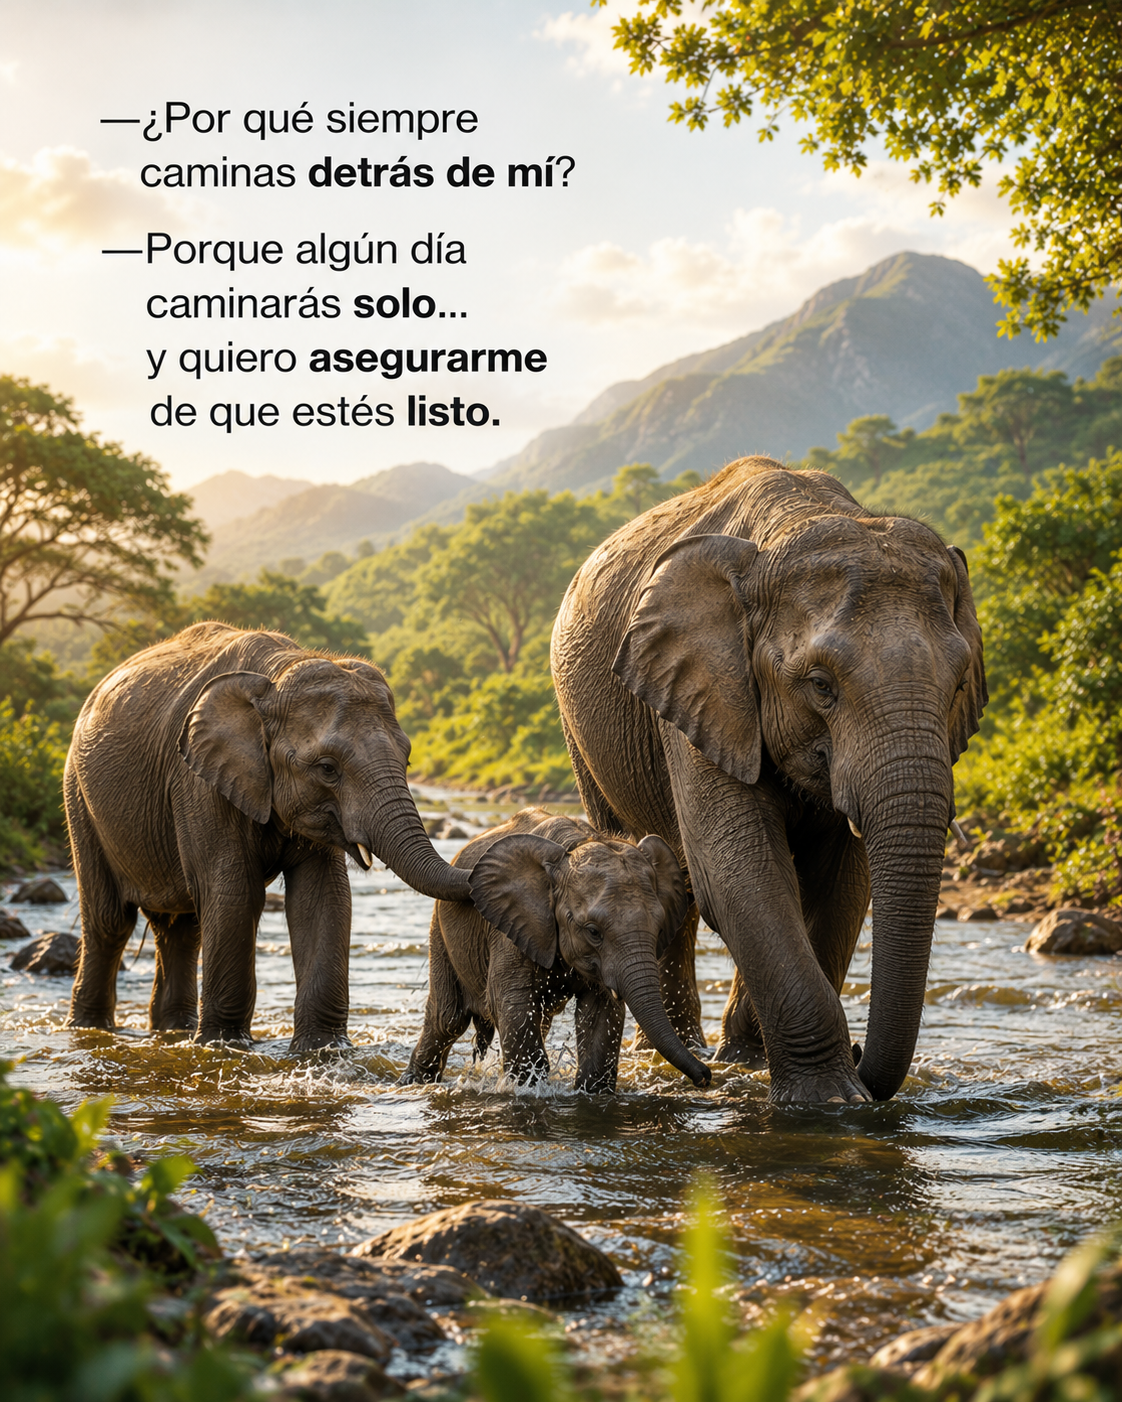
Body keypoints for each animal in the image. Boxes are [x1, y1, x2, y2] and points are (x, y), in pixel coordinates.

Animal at [65, 621, 471, 1050]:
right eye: (327, 768)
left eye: (407, 759)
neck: (276, 677)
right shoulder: (199, 782)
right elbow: (234, 894)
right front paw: (224, 1044)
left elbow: (323, 895)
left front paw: (322, 1049)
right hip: (79, 797)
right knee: (110, 922)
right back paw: (91, 1028)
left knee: (181, 928)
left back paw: (173, 1030)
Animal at [400, 808, 712, 1091]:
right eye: (593, 932)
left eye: (658, 929)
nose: (705, 1076)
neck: (576, 845)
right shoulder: (512, 927)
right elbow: (512, 1003)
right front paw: (527, 1089)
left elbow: (602, 1014)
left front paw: (591, 1093)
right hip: (441, 930)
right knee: (447, 1019)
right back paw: (413, 1082)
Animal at [551, 457, 986, 1104]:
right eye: (820, 685)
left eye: (958, 685)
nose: (864, 1058)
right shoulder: (701, 689)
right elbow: (736, 870)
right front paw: (828, 1102)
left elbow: (842, 881)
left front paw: (773, 1072)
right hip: (582, 734)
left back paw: (725, 1055)